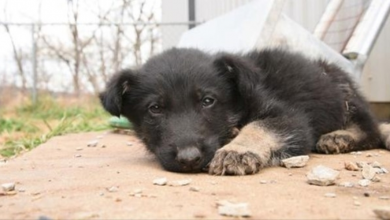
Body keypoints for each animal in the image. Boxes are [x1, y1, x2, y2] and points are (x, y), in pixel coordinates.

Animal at [100, 48, 390, 175]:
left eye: (208, 101)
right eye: (155, 109)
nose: (189, 159)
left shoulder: (289, 117)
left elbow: (259, 126)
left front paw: (237, 150)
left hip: (343, 92)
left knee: (371, 128)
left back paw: (340, 136)